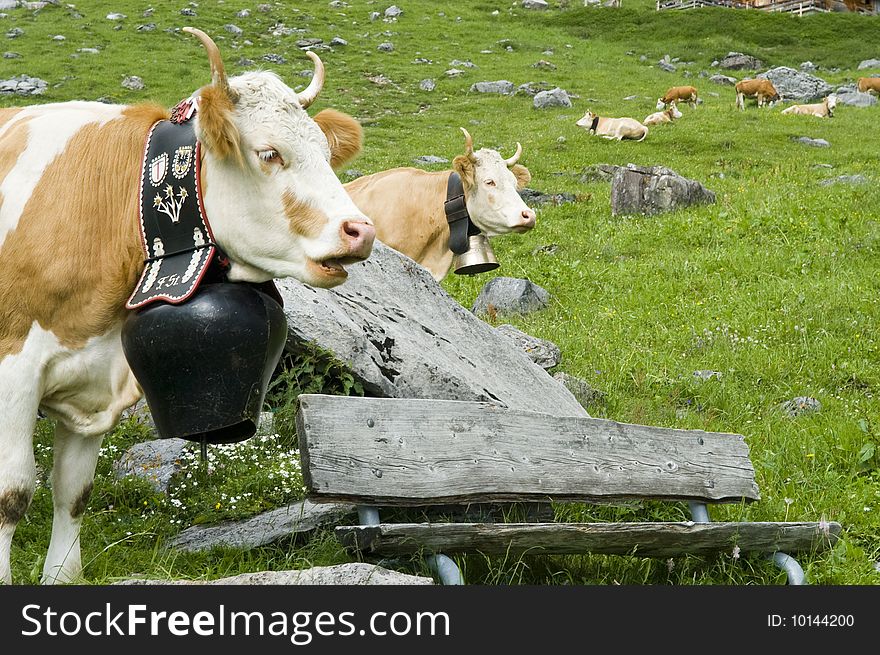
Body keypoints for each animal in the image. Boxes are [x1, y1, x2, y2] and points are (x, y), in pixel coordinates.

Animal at [0, 28, 374, 588]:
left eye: (326, 155)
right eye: (269, 153)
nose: (361, 230)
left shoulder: (95, 380)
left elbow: (73, 490)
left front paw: (61, 575)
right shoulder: (15, 366)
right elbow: (13, 491)